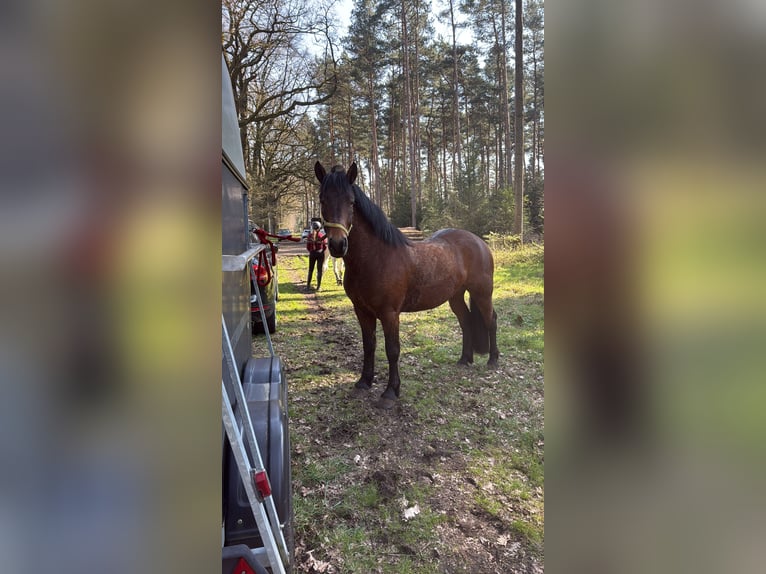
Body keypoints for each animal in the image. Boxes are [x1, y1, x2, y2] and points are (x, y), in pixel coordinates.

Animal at [315, 161, 499, 409]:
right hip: (456, 297)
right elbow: (369, 345)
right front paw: (364, 382)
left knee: (491, 320)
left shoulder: (389, 313)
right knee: (467, 321)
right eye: (322, 200)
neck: (376, 257)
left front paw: (390, 392)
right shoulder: (362, 311)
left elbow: (392, 350)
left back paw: (493, 360)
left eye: (351, 202)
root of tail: (479, 241)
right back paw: (464, 360)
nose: (337, 245)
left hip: (482, 293)